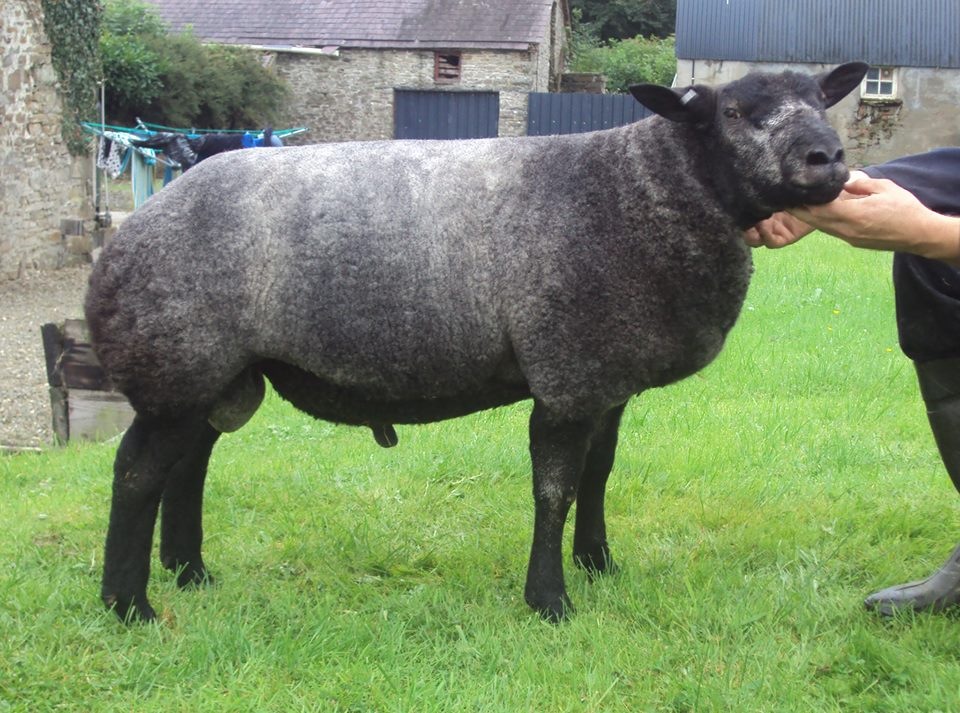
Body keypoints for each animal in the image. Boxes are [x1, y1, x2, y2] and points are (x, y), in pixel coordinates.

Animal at [86, 62, 869, 623]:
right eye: (732, 112)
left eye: (820, 100)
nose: (826, 159)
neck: (638, 189)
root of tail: (126, 235)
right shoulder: (565, 375)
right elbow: (553, 489)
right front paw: (550, 601)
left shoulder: (606, 377)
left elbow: (598, 474)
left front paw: (599, 564)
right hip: (176, 361)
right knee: (136, 475)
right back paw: (129, 604)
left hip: (216, 373)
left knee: (189, 466)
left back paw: (190, 572)